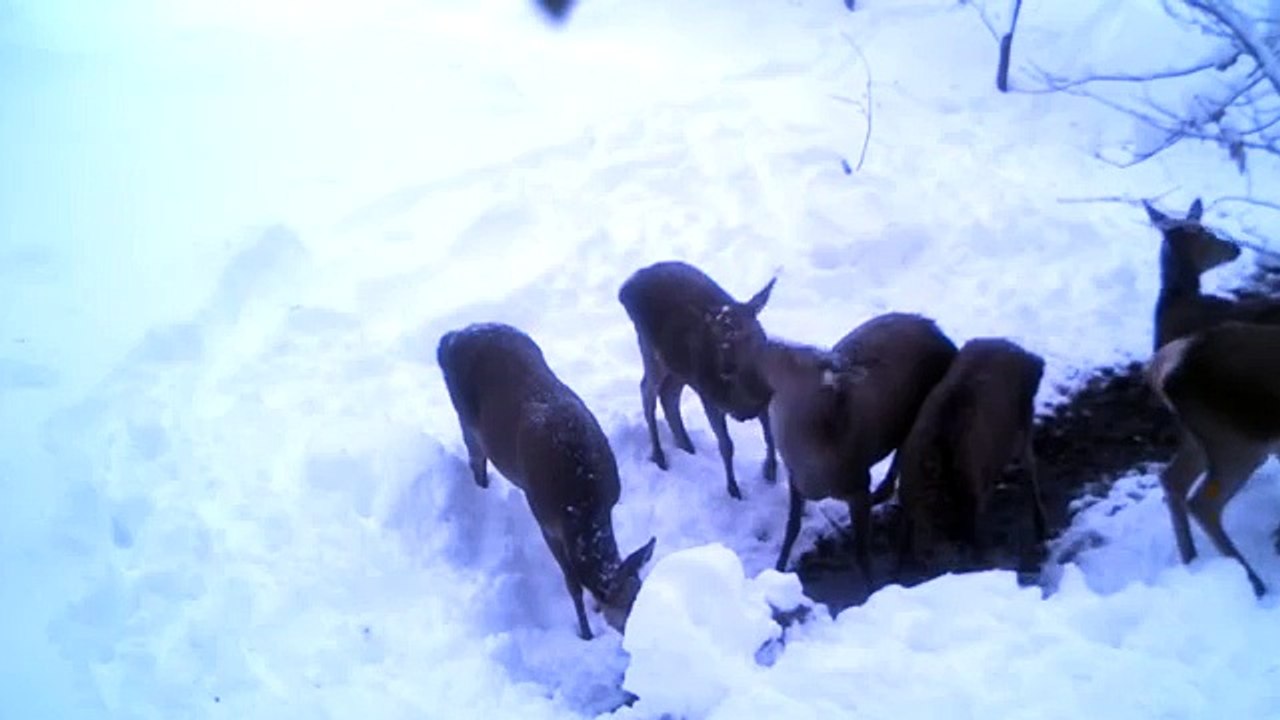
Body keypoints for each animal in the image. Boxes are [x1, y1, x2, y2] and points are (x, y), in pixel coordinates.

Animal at [437, 322, 657, 639]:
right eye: (628, 615)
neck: (583, 502)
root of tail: (451, 336)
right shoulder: (545, 519)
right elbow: (572, 583)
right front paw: (585, 634)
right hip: (464, 415)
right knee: (476, 461)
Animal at [618, 260, 779, 500]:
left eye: (750, 334)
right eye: (718, 338)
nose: (727, 370)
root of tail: (625, 288)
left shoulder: (765, 398)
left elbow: (770, 434)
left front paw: (770, 471)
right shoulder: (708, 396)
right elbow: (726, 445)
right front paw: (733, 490)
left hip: (679, 366)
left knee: (668, 395)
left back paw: (686, 445)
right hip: (652, 350)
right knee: (647, 391)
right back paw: (659, 454)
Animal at [759, 312, 958, 581]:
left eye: (796, 360)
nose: (766, 342)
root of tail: (943, 336)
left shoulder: (858, 484)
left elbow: (862, 553)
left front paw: (872, 585)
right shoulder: (795, 479)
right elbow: (792, 528)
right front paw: (778, 568)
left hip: (926, 407)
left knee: (905, 452)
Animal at [1146, 320, 1280, 597]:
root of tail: (1161, 368)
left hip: (1199, 440)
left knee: (1172, 479)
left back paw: (1191, 561)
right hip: (1238, 443)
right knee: (1203, 503)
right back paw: (1254, 582)